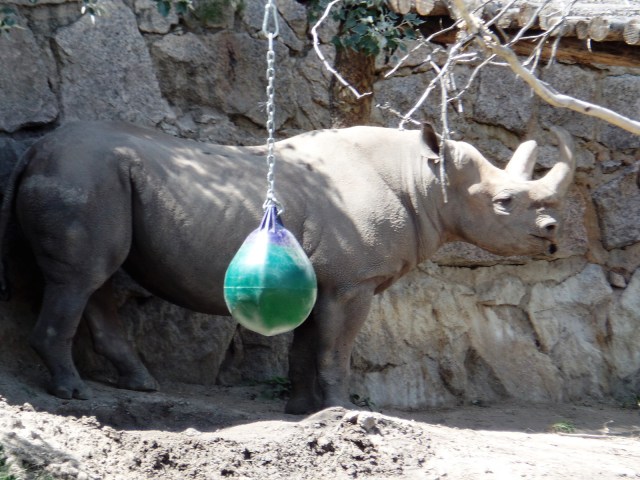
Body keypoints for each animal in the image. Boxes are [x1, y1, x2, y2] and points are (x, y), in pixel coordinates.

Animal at [0, 121, 574, 414]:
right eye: (504, 203)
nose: (551, 233)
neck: (427, 180)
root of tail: (31, 153)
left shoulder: (326, 277)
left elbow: (304, 346)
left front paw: (300, 410)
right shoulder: (352, 282)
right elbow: (335, 349)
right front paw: (346, 413)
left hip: (88, 176)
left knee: (93, 276)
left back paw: (140, 385)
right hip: (83, 176)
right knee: (80, 278)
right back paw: (74, 393)